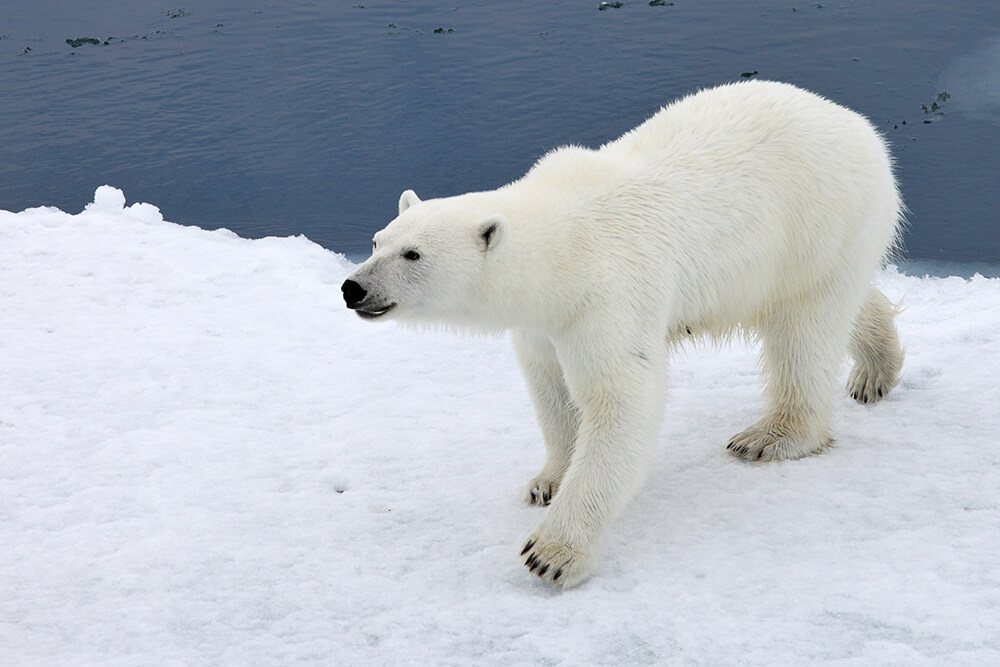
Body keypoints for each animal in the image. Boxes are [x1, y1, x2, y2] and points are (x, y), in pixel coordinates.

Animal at [342, 81, 908, 588]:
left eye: (414, 254)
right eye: (376, 240)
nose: (353, 287)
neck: (563, 246)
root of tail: (860, 126)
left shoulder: (609, 291)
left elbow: (622, 398)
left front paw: (552, 553)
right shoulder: (546, 321)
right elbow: (551, 386)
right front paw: (547, 480)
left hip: (819, 221)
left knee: (805, 328)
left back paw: (771, 436)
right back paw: (876, 367)